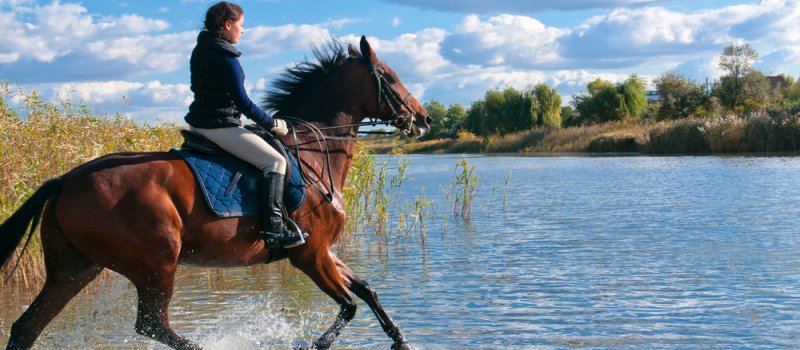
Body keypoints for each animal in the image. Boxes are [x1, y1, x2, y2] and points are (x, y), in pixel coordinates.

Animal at [0, 37, 432, 348]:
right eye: (390, 77)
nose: (424, 118)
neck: (312, 151)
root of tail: (65, 180)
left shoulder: (323, 249)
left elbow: (367, 291)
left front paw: (402, 342)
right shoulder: (309, 254)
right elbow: (349, 307)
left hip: (76, 267)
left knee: (26, 327)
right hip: (157, 262)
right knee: (153, 324)